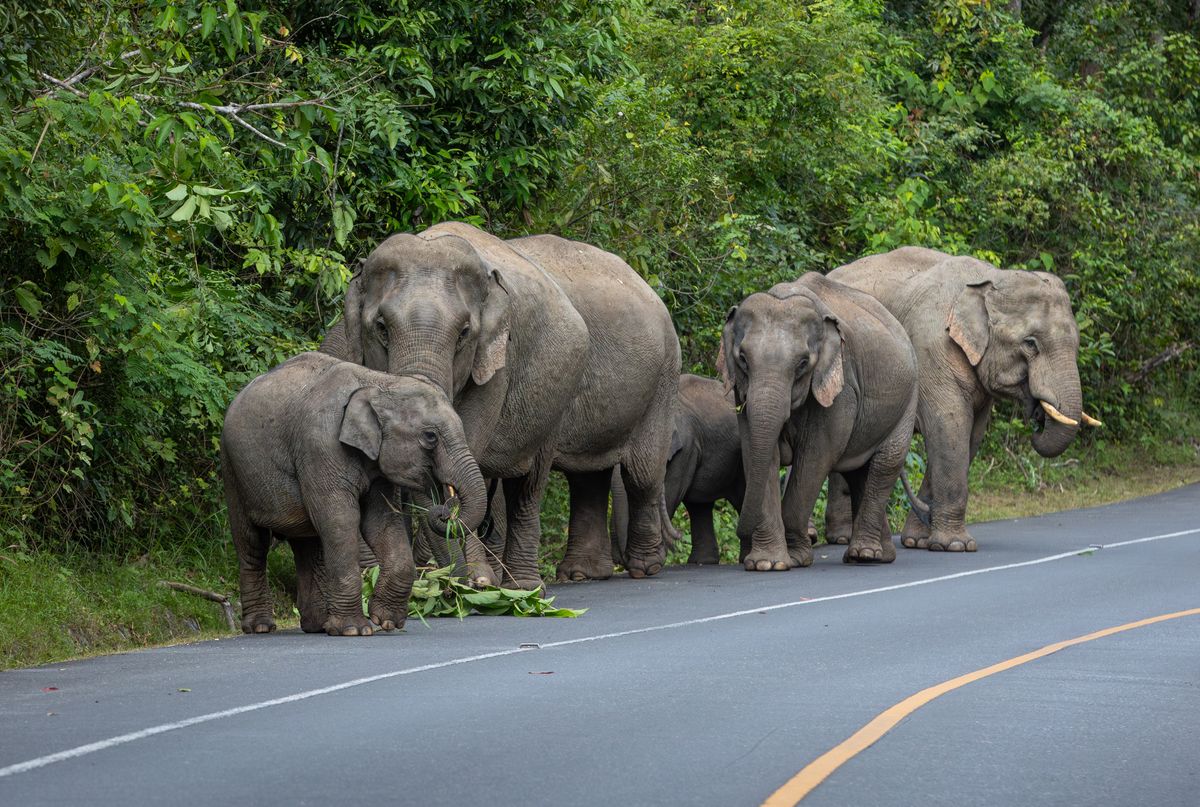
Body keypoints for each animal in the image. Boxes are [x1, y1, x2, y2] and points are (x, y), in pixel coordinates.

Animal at [221, 352, 487, 636]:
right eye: (430, 436)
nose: (443, 511)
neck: (379, 382)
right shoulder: (320, 448)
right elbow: (340, 521)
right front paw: (353, 630)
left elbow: (380, 523)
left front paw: (386, 621)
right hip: (233, 470)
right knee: (252, 543)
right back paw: (260, 627)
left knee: (306, 544)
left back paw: (317, 626)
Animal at [324, 222, 681, 587]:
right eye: (381, 327)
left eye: (464, 333)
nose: (433, 573)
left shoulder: (496, 367)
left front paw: (473, 581)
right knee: (586, 478)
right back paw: (579, 574)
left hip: (648, 381)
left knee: (625, 475)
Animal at [721, 272, 919, 570]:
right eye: (743, 359)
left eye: (803, 363)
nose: (738, 541)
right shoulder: (742, 393)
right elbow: (758, 453)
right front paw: (767, 564)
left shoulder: (842, 389)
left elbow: (817, 456)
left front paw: (795, 558)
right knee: (858, 474)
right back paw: (877, 554)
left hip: (908, 400)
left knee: (886, 463)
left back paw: (865, 555)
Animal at [824, 247, 1098, 552]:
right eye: (1030, 343)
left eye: (1077, 343)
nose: (1038, 418)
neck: (990, 278)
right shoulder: (931, 350)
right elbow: (950, 426)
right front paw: (956, 546)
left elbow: (971, 436)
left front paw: (919, 540)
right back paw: (837, 539)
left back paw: (843, 538)